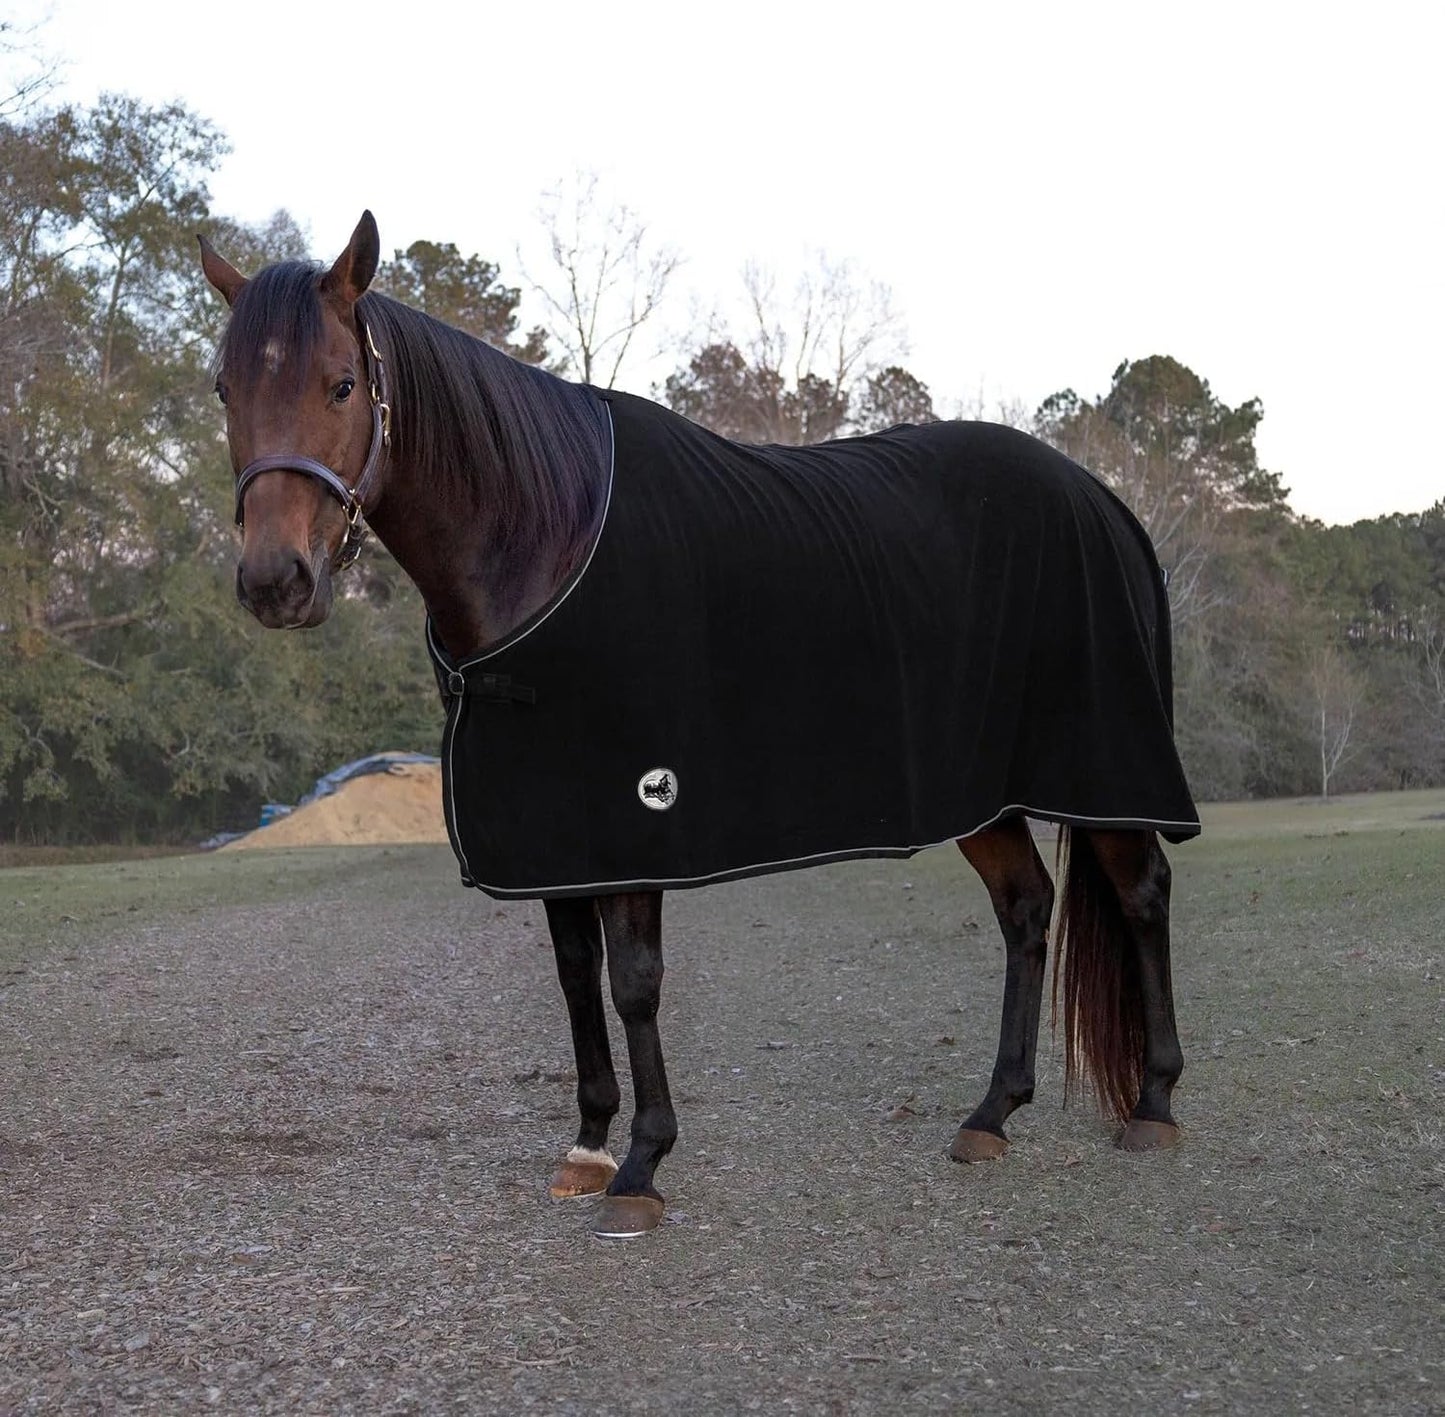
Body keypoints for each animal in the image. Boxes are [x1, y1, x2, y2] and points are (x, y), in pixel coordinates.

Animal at [199, 212, 1198, 1239]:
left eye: (341, 383)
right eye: (226, 388)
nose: (276, 582)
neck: (546, 538)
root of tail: (1102, 500)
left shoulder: (638, 813)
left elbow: (634, 982)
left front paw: (643, 1163)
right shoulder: (554, 826)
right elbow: (574, 972)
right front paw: (588, 1143)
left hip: (1102, 766)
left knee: (1141, 892)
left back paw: (1154, 1103)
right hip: (982, 793)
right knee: (1027, 908)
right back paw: (992, 1111)